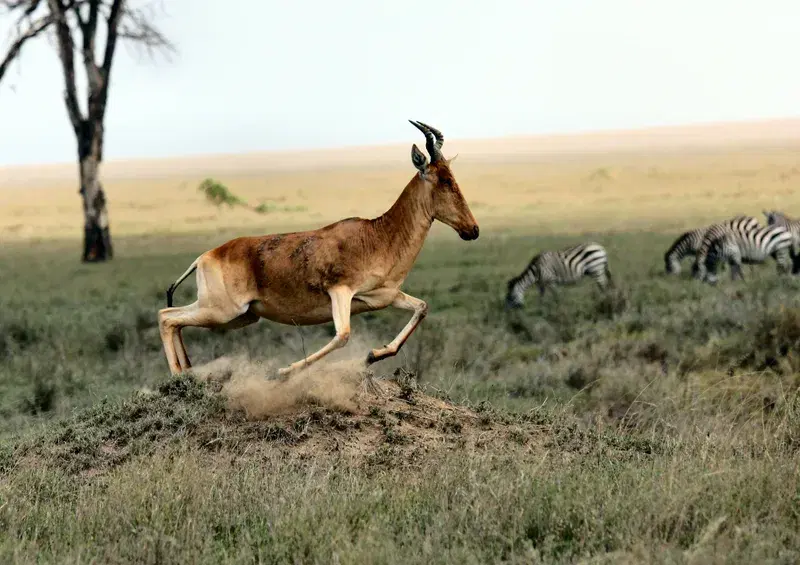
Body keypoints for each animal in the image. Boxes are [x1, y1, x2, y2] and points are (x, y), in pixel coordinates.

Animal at [159, 121, 478, 376]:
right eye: (444, 180)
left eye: (453, 177)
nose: (472, 230)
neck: (377, 234)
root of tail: (205, 257)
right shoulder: (340, 291)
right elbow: (343, 335)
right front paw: (284, 370)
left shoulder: (384, 297)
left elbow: (422, 308)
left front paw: (373, 355)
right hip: (222, 311)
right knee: (166, 316)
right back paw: (178, 377)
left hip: (240, 316)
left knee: (175, 321)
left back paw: (187, 372)